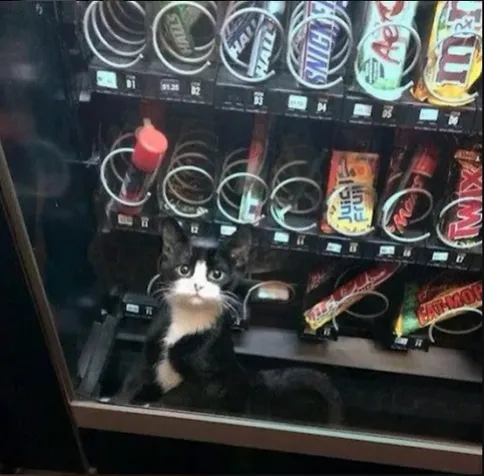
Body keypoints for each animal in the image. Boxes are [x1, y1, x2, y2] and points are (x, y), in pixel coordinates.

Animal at [117, 218, 342, 424]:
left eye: (216, 274)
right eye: (184, 269)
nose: (197, 286)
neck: (188, 319)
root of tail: (252, 378)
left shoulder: (210, 380)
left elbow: (178, 398)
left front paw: (152, 406)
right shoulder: (148, 355)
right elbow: (132, 382)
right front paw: (120, 400)